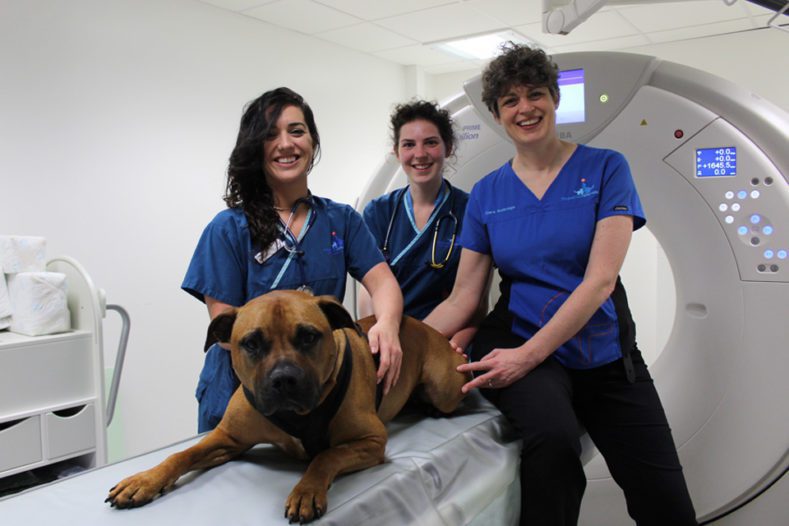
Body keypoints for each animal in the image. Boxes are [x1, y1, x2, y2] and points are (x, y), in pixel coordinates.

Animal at [102, 290, 464, 524]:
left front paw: (306, 491)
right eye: (251, 343)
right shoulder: (228, 439)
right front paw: (145, 480)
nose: (284, 379)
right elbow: (182, 454)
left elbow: (325, 456)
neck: (296, 415)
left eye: (308, 336)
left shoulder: (371, 441)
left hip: (443, 385)